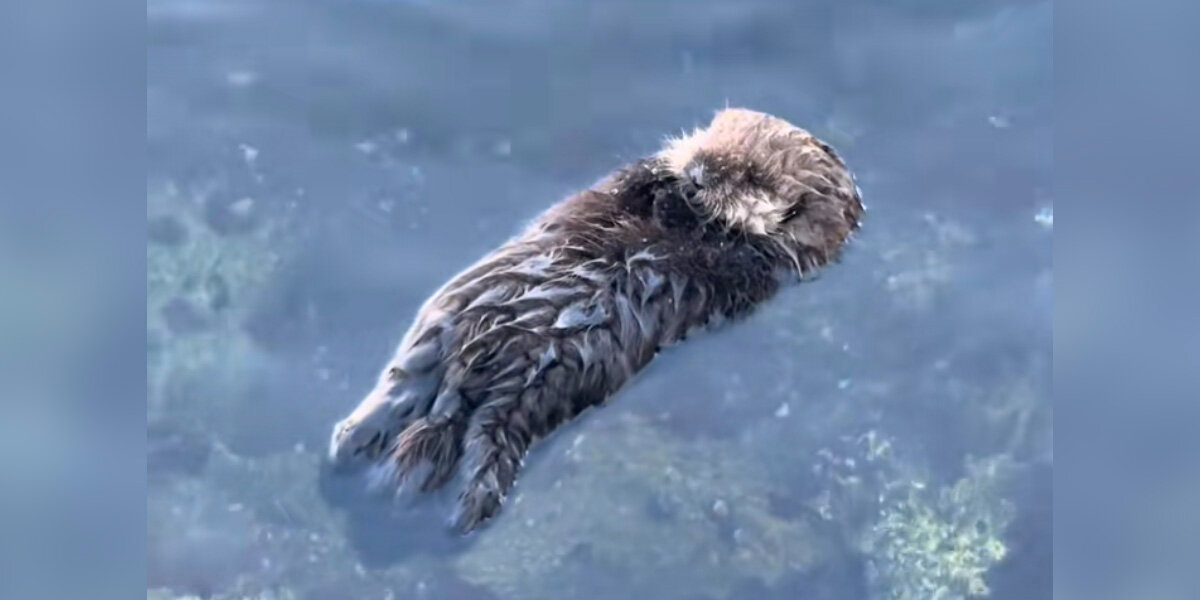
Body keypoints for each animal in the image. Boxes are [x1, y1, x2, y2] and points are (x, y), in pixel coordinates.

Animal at [328, 108, 865, 533]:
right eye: (712, 137)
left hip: (539, 388)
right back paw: (352, 440)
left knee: (490, 436)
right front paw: (665, 177)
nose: (697, 173)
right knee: (405, 381)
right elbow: (630, 184)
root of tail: (467, 377)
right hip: (444, 322)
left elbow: (726, 251)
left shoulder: (758, 267)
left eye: (750, 175)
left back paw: (462, 507)